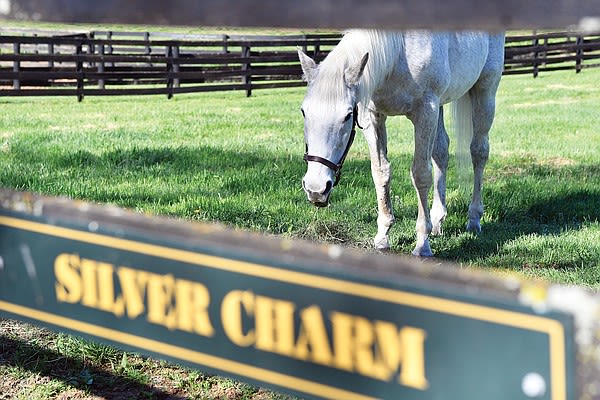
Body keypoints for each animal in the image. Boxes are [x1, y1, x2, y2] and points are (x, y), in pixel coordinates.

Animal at [298, 30, 502, 256]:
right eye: (304, 111)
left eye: (348, 115)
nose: (316, 190)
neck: (399, 55)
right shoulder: (373, 117)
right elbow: (381, 172)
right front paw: (383, 236)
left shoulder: (425, 112)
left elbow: (420, 174)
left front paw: (422, 244)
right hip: (440, 105)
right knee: (441, 152)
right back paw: (437, 221)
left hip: (485, 92)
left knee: (479, 152)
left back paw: (473, 220)